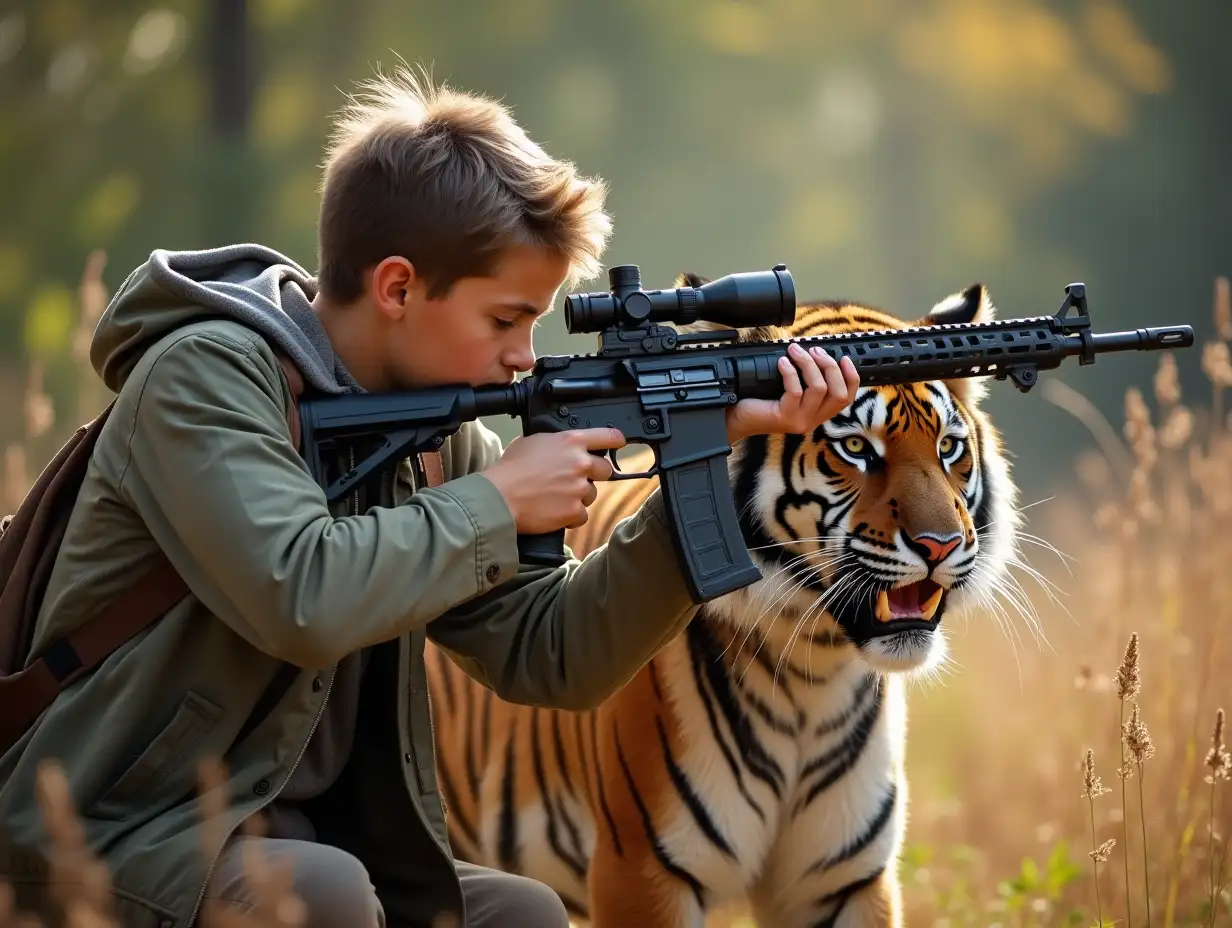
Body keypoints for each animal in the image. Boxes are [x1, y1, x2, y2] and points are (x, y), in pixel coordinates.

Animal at [423, 274, 1020, 926]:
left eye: (949, 448)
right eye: (857, 448)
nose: (940, 545)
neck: (814, 669)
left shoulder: (847, 882)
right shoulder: (643, 872)